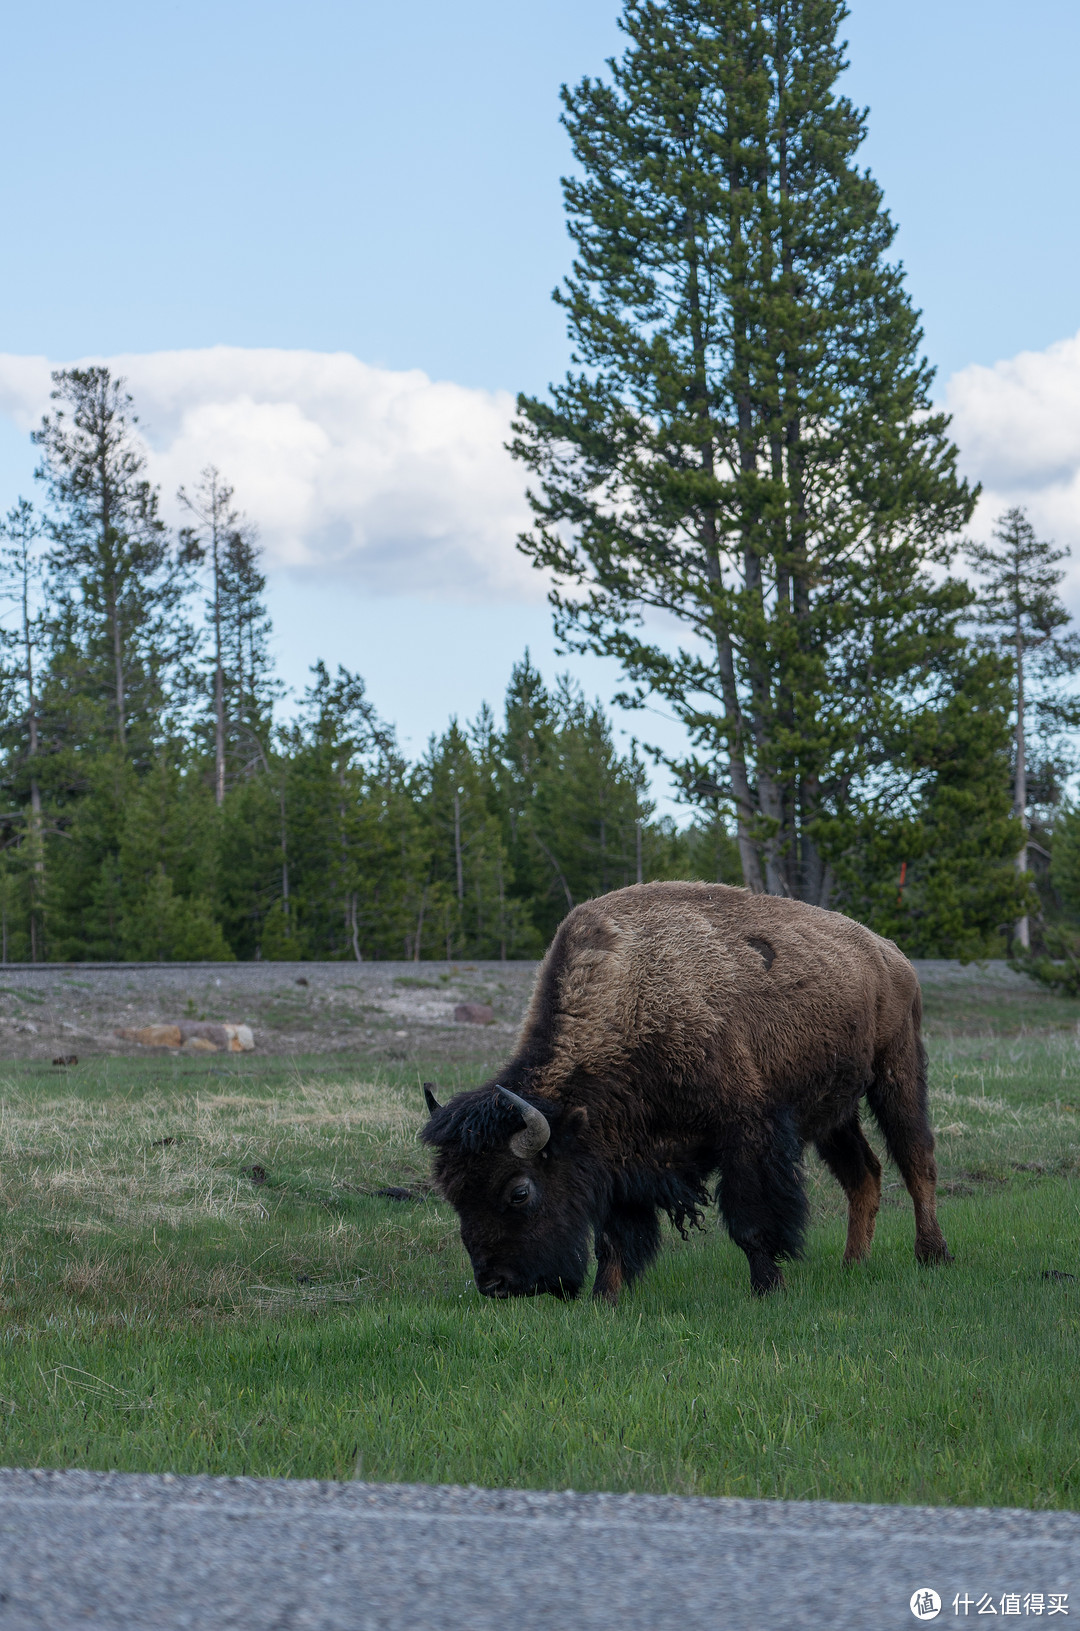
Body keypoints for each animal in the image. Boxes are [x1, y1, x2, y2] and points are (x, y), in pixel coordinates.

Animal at [424, 880, 959, 1298]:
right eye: (454, 1195)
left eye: (519, 1191)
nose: (496, 1285)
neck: (635, 997)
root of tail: (891, 953)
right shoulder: (620, 1155)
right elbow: (613, 1236)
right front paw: (605, 1298)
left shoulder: (747, 1131)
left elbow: (750, 1222)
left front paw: (768, 1288)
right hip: (833, 1112)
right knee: (863, 1174)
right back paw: (853, 1264)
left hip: (897, 1072)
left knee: (917, 1160)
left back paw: (932, 1256)